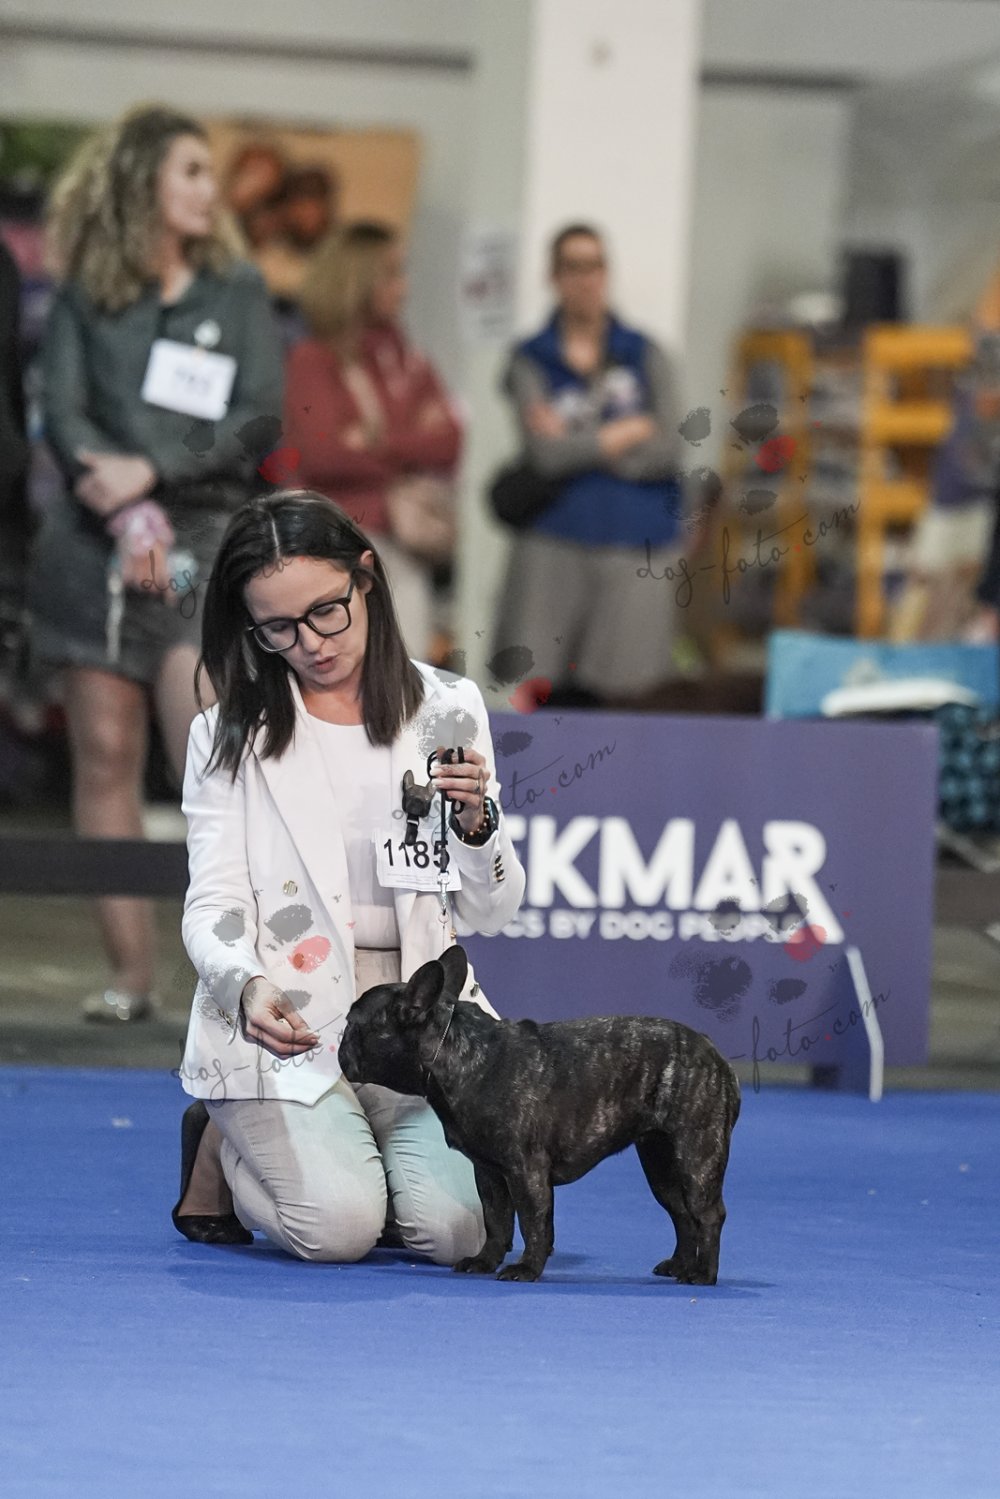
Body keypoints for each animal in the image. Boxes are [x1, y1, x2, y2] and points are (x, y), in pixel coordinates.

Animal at [339, 946, 740, 1283]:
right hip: (660, 1163)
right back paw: (680, 1265)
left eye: (354, 1023)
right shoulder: (489, 1173)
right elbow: (497, 1221)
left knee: (708, 1214)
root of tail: (715, 1053)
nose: (340, 1043)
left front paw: (527, 1268)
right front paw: (484, 1261)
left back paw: (703, 1274)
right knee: (681, 1213)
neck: (458, 1055)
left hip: (695, 1155)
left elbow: (533, 1223)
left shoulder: (525, 1169)